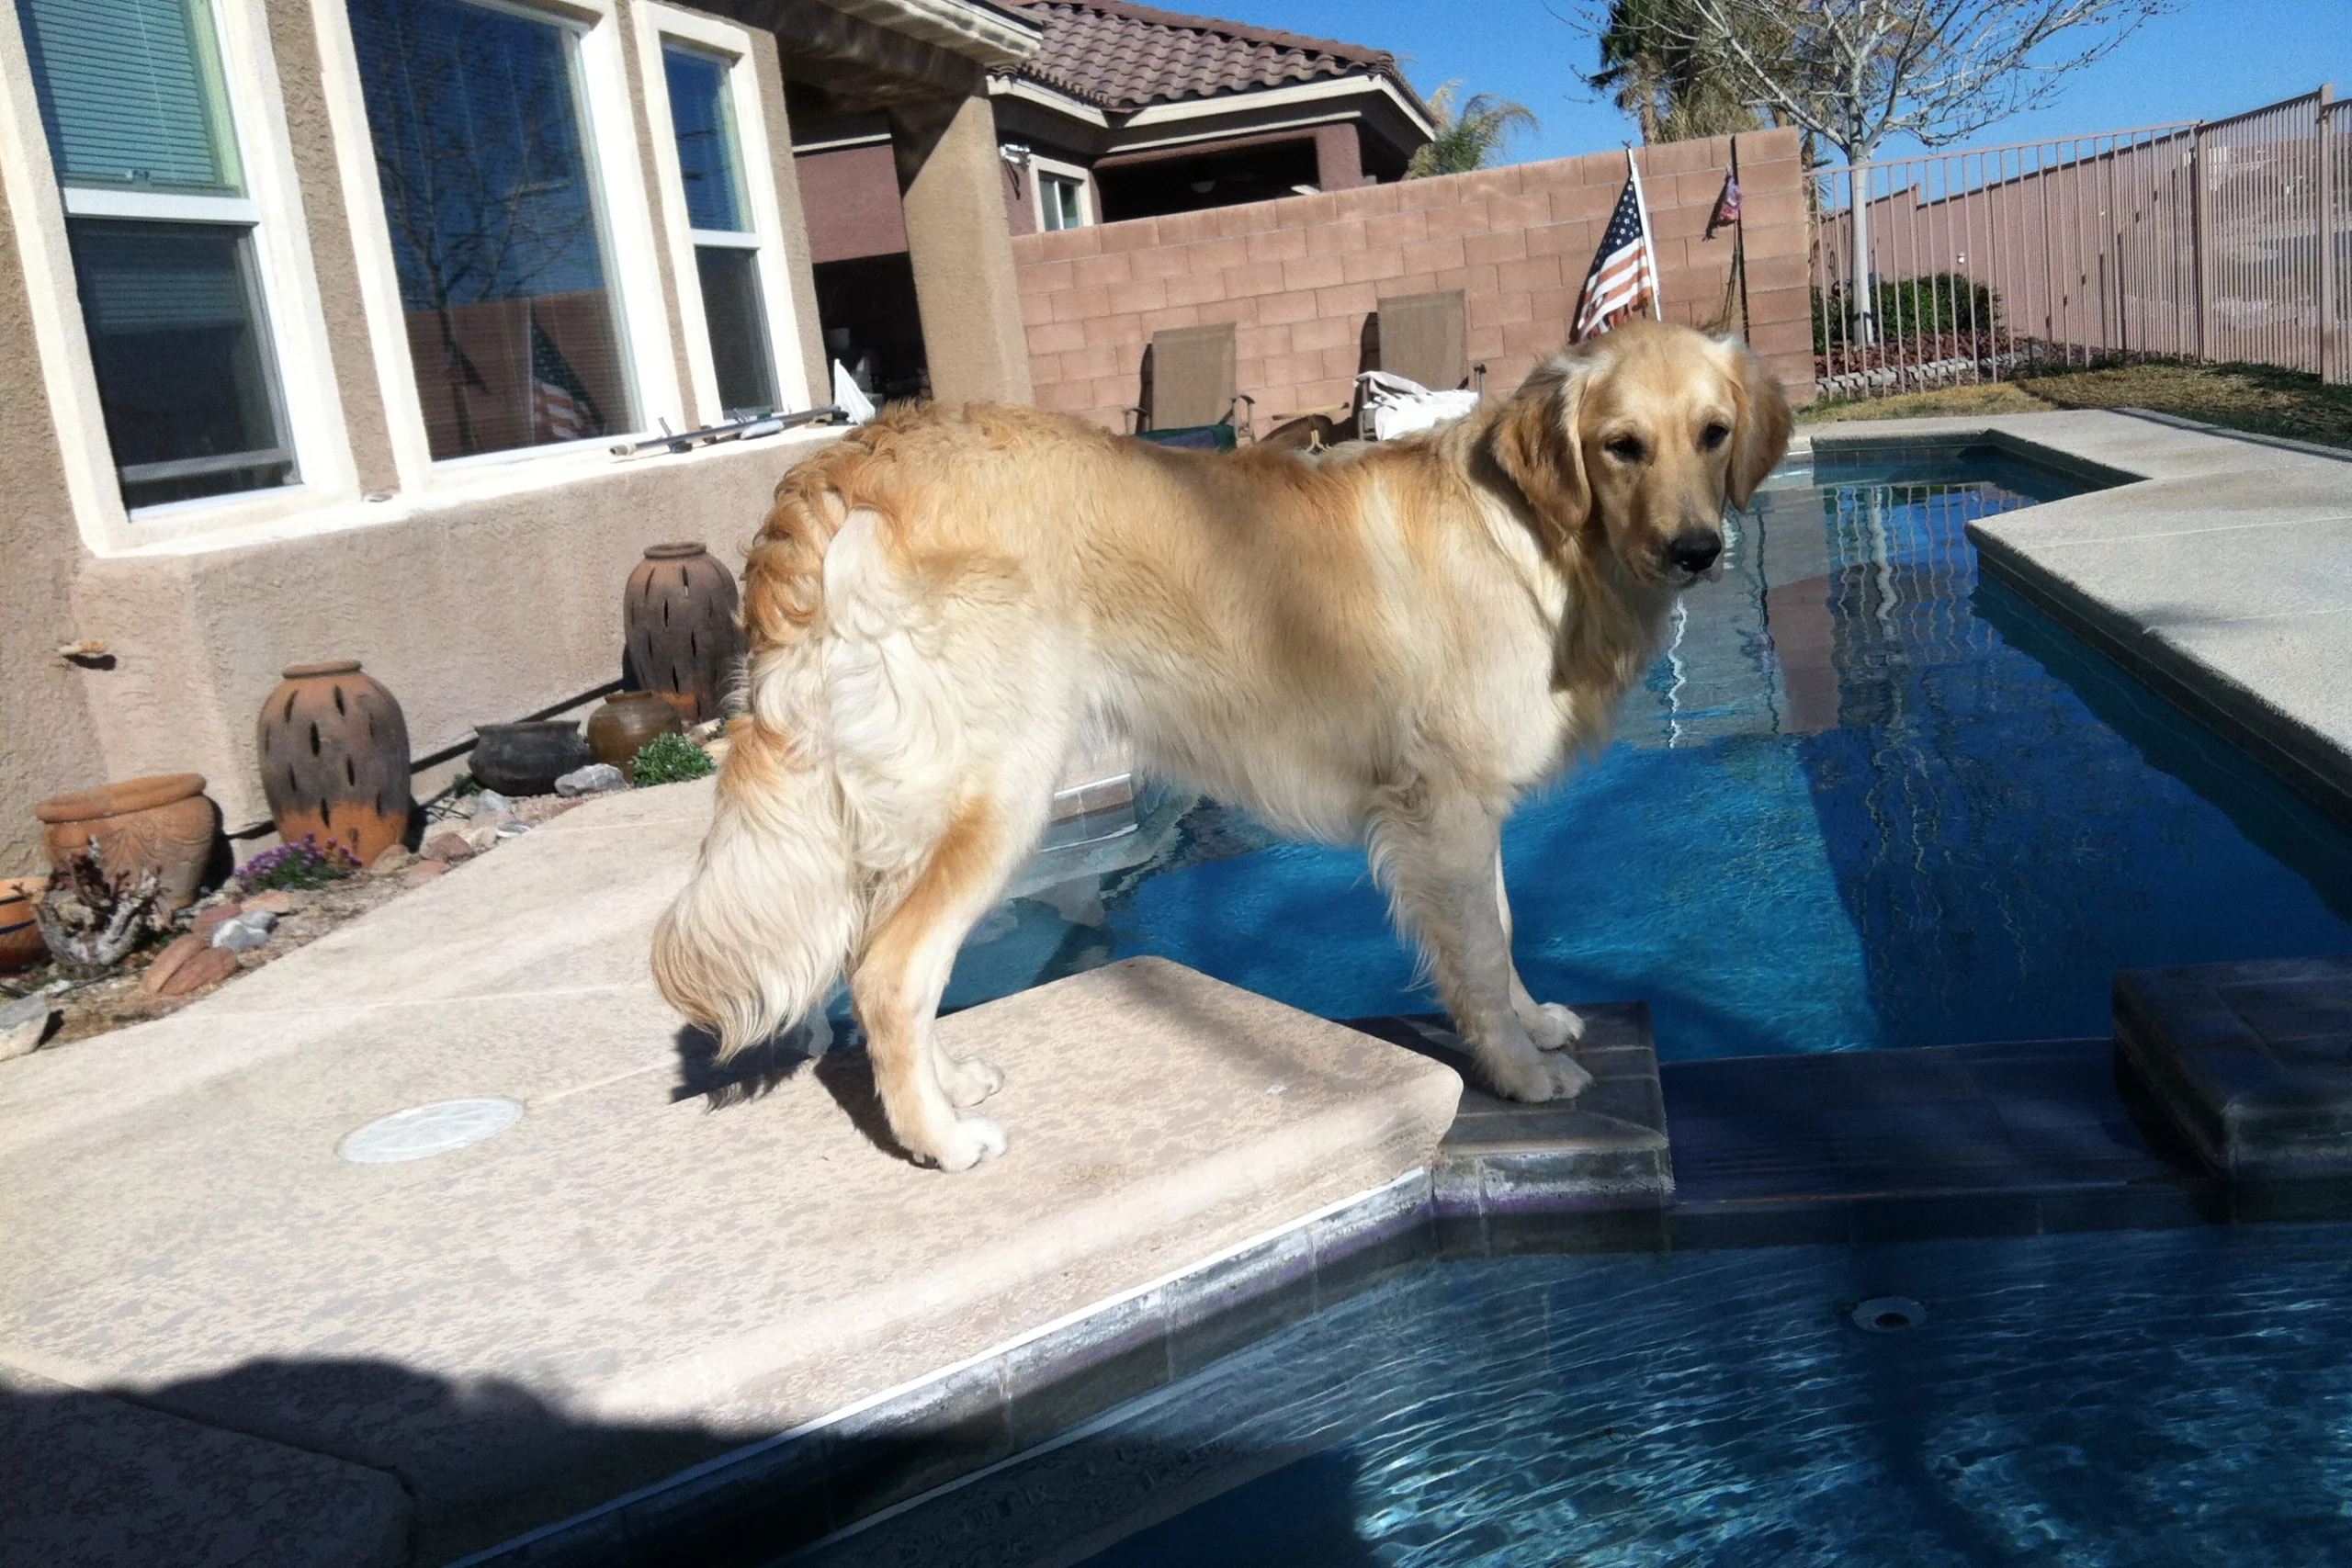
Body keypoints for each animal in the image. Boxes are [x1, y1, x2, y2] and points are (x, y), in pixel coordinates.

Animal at [653, 321, 1787, 1166]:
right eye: (1621, 445)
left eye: (1713, 433)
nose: (1697, 549)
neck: (1538, 538)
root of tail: (846, 458)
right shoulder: (1445, 808)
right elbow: (1477, 946)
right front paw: (1518, 1070)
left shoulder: (1463, 818)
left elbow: (1500, 931)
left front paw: (1536, 1021)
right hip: (1000, 789)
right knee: (890, 974)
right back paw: (941, 1139)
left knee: (884, 962)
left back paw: (944, 1084)